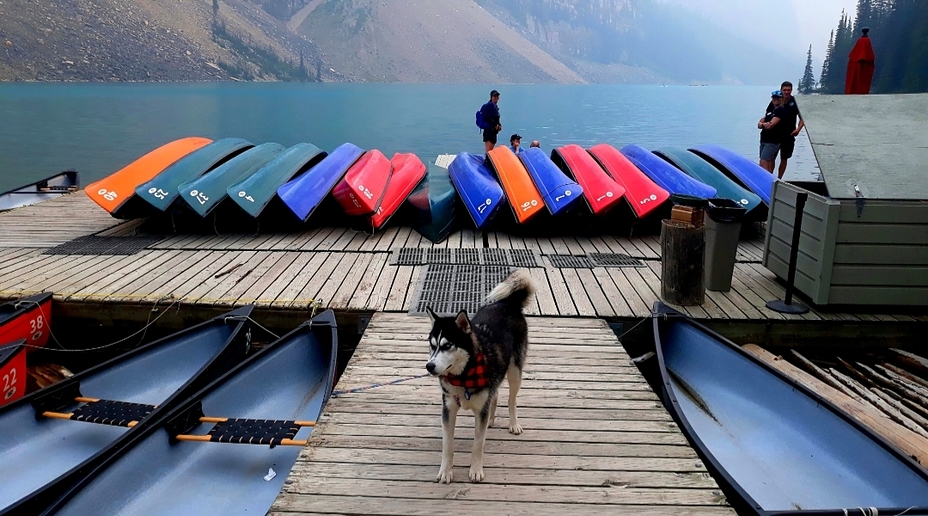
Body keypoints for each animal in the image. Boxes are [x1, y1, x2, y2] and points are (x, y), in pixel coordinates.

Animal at [424, 270, 532, 484]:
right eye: (432, 345)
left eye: (447, 345)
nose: (429, 366)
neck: (464, 375)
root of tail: (507, 303)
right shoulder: (448, 408)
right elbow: (447, 445)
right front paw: (446, 471)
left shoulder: (479, 410)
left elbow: (477, 444)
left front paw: (475, 470)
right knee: (495, 394)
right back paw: (491, 418)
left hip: (515, 372)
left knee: (511, 399)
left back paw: (513, 423)